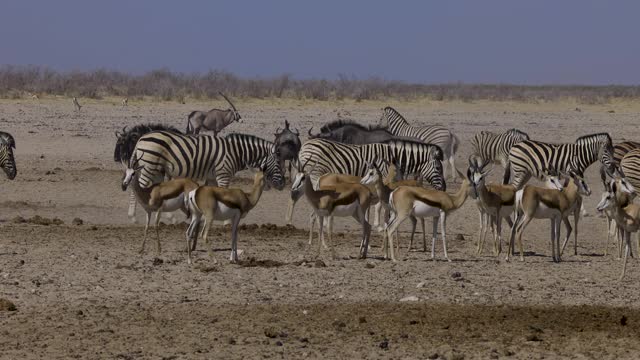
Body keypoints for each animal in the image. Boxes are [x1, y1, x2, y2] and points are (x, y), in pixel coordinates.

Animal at [126, 129, 284, 191]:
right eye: (278, 163)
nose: (283, 185)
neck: (236, 152)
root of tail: (141, 138)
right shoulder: (223, 175)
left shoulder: (213, 176)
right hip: (149, 166)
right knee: (141, 186)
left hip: (155, 168)